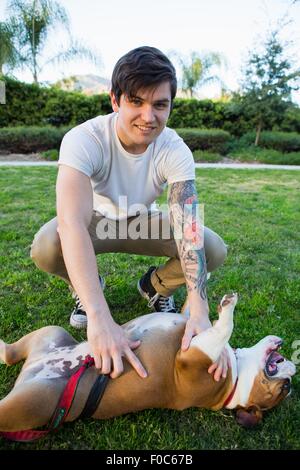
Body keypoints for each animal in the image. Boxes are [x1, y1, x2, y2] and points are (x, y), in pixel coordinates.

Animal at [0, 292, 296, 436]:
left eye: (283, 390)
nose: (291, 377)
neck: (235, 383)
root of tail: (32, 367)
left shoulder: (191, 358)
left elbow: (224, 327)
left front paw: (228, 307)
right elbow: (201, 318)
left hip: (28, 402)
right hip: (50, 334)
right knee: (11, 354)